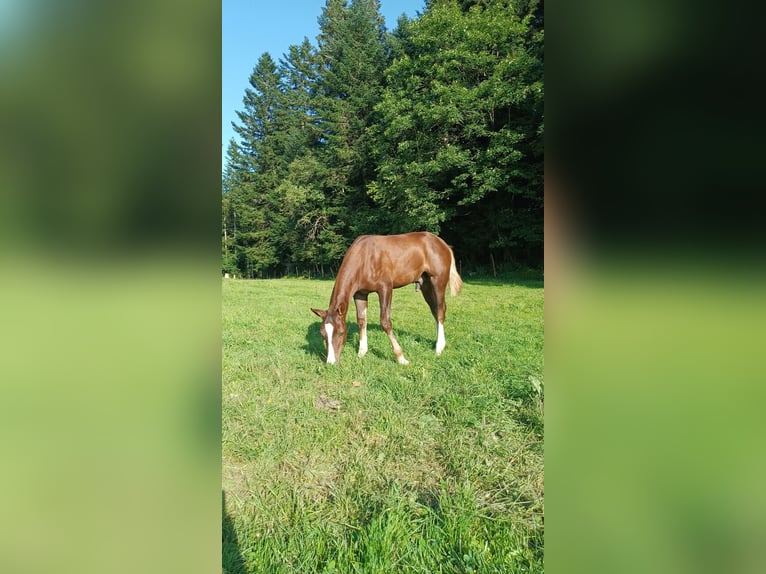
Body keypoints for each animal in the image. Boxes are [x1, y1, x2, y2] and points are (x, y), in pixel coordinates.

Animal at [310, 233, 464, 364]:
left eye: (341, 332)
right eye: (323, 334)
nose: (331, 362)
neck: (364, 258)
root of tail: (443, 244)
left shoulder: (385, 289)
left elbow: (385, 322)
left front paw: (401, 358)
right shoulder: (360, 294)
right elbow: (361, 320)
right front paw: (361, 352)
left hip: (438, 282)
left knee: (440, 310)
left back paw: (439, 348)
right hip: (425, 284)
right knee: (435, 310)